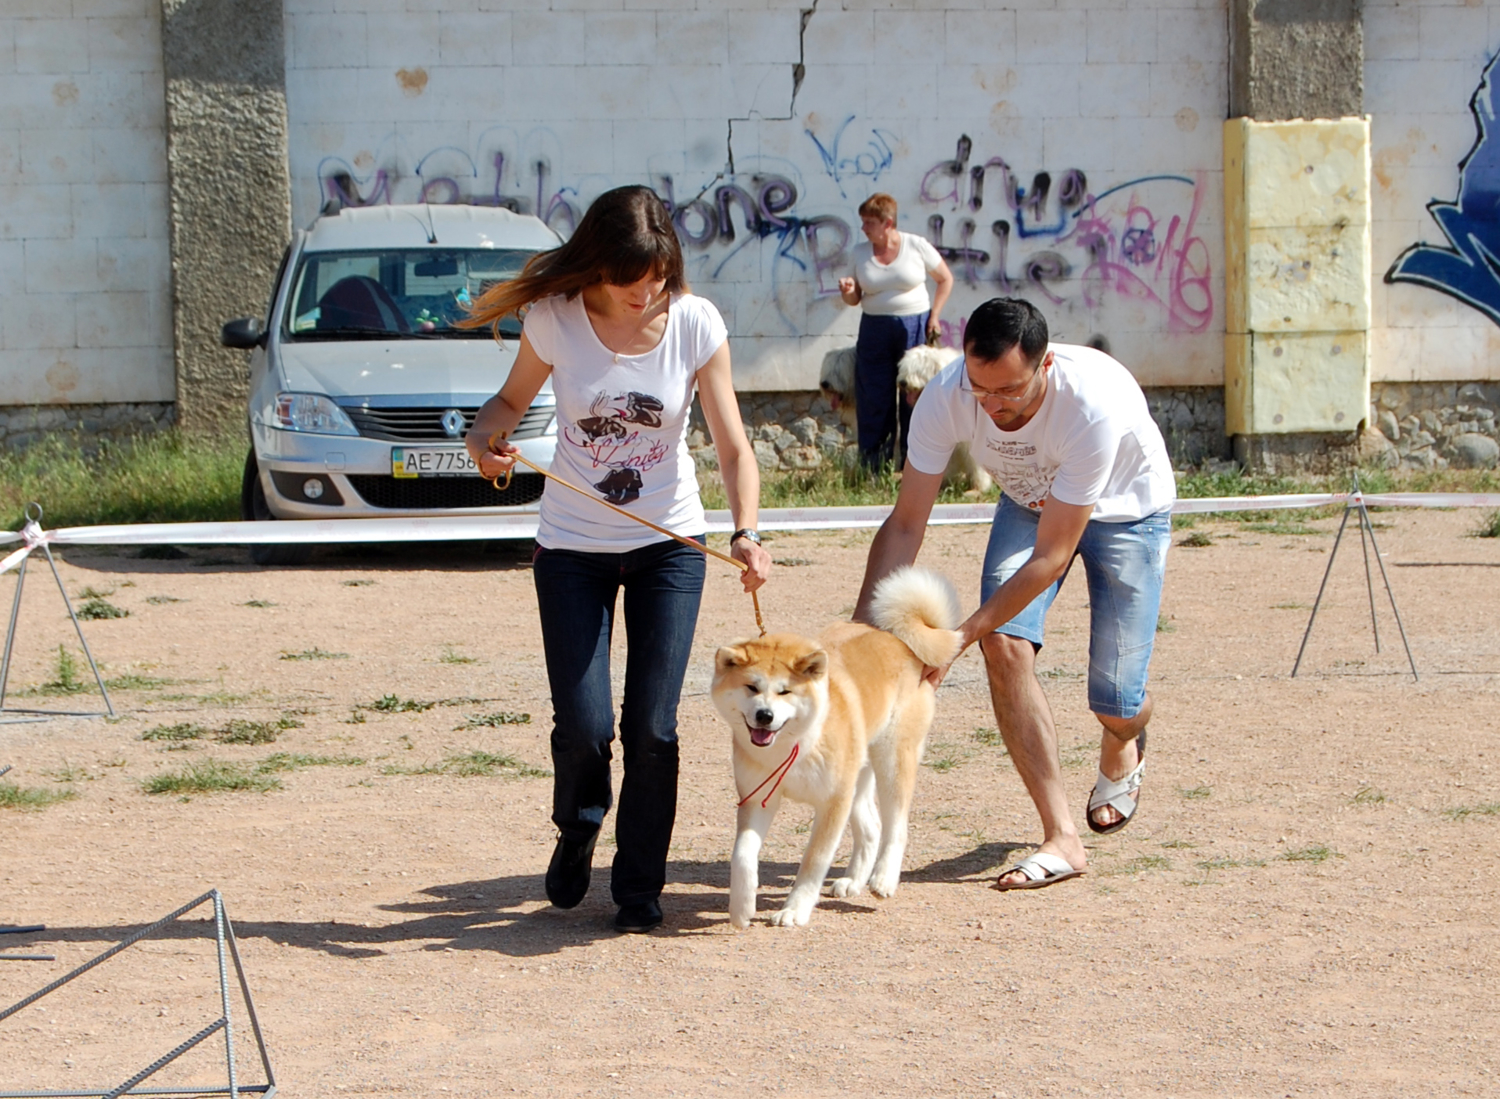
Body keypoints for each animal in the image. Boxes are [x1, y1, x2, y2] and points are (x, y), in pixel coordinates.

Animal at [711, 566, 960, 923]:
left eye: (785, 691)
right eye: (751, 687)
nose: (764, 715)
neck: (796, 743)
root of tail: (900, 639)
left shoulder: (833, 802)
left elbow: (814, 861)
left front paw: (794, 909)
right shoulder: (757, 797)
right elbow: (742, 855)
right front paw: (742, 907)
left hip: (891, 762)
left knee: (896, 827)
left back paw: (883, 878)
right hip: (858, 777)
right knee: (871, 828)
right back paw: (854, 881)